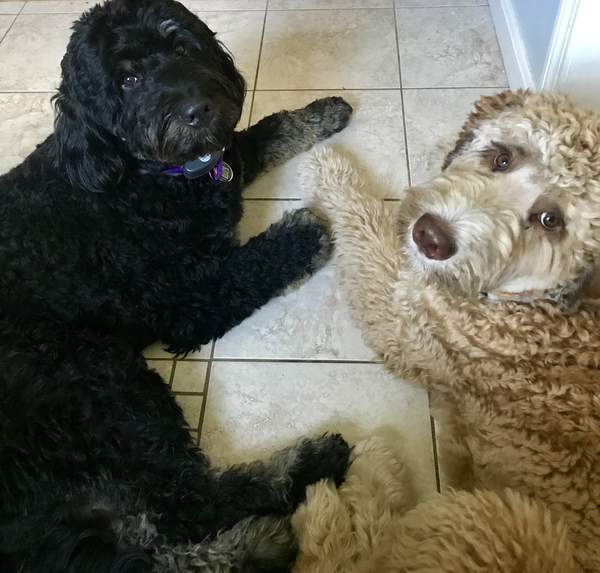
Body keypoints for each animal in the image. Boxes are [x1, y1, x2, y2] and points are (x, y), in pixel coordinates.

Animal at [0, 1, 352, 572]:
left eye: (182, 46)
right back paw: (302, 474)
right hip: (90, 373)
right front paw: (303, 232)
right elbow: (248, 266)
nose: (197, 109)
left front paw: (320, 113)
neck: (139, 178)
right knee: (189, 505)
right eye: (127, 79)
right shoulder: (183, 301)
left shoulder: (222, 163)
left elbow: (259, 134)